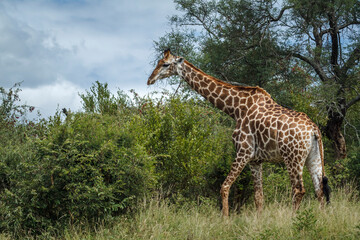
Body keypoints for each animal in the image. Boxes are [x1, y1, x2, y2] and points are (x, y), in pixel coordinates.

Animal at [146, 48, 330, 216]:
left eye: (166, 64)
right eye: (158, 62)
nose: (150, 80)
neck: (235, 109)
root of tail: (314, 129)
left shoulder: (243, 151)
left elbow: (224, 186)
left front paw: (225, 220)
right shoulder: (256, 160)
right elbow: (258, 196)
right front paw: (258, 222)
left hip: (292, 157)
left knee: (299, 189)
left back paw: (293, 220)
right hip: (313, 157)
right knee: (319, 189)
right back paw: (320, 220)